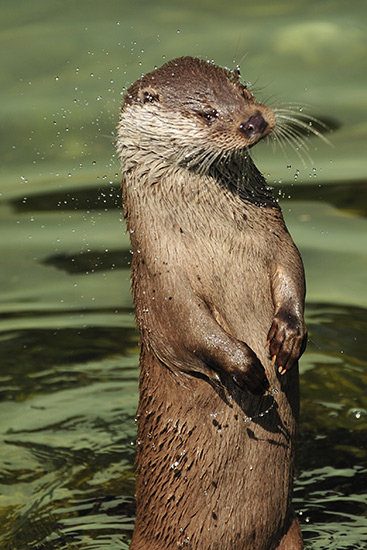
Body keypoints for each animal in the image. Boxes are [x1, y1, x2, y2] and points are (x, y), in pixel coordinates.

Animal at [117, 57, 308, 550]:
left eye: (243, 92)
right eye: (206, 114)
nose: (253, 120)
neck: (215, 244)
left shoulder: (277, 241)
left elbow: (293, 274)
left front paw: (287, 338)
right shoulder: (165, 281)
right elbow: (191, 330)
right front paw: (250, 370)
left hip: (290, 531)